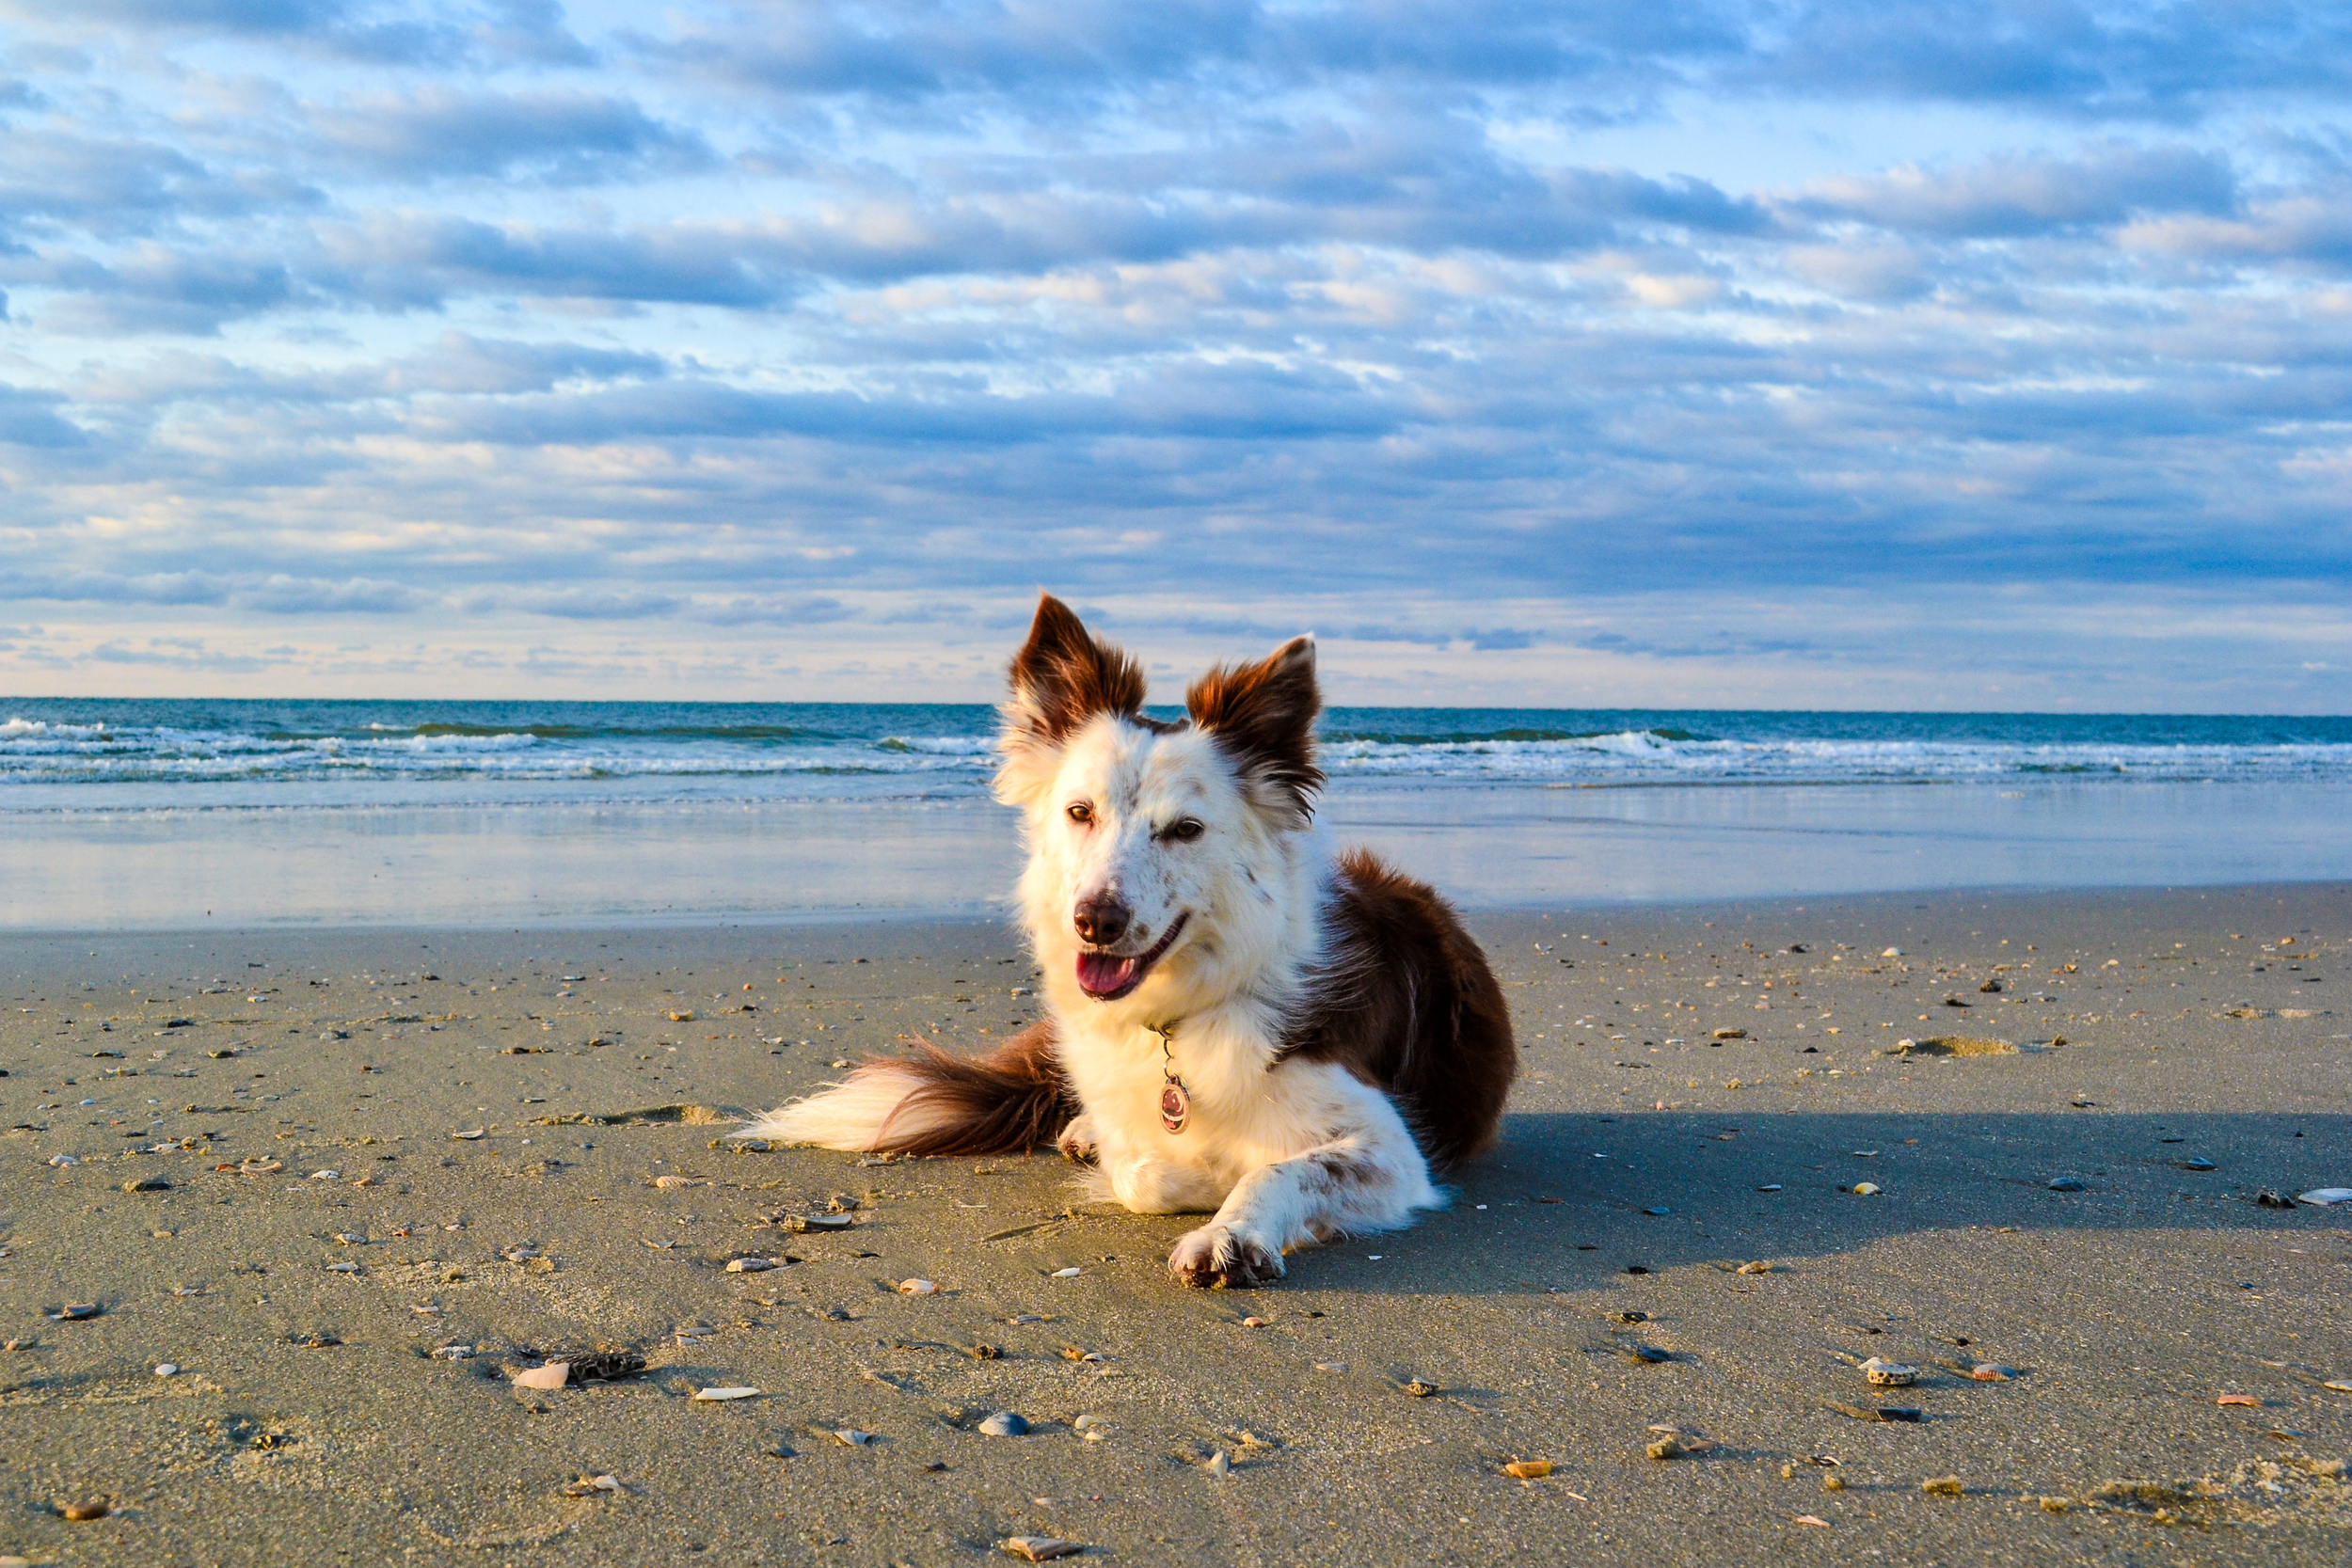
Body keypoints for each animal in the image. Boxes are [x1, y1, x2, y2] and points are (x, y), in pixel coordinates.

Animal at [753, 594, 1524, 1278]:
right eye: (1080, 811)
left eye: (1185, 829)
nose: (1095, 922)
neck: (1179, 1017)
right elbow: (1142, 1173)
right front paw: (1167, 1162)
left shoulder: (1392, 1147)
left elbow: (1275, 1170)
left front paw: (1230, 1226)